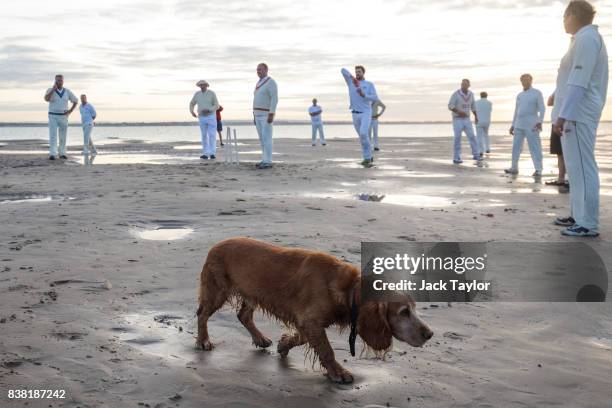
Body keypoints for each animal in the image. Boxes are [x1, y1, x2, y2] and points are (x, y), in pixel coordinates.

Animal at [195, 236, 430, 382]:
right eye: (404, 312)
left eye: (414, 308)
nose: (429, 334)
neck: (347, 288)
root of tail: (215, 245)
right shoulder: (310, 320)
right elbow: (326, 349)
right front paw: (339, 372)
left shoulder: (307, 322)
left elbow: (301, 339)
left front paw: (283, 344)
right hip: (217, 291)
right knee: (202, 315)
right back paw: (203, 341)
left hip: (251, 293)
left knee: (243, 315)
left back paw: (260, 338)